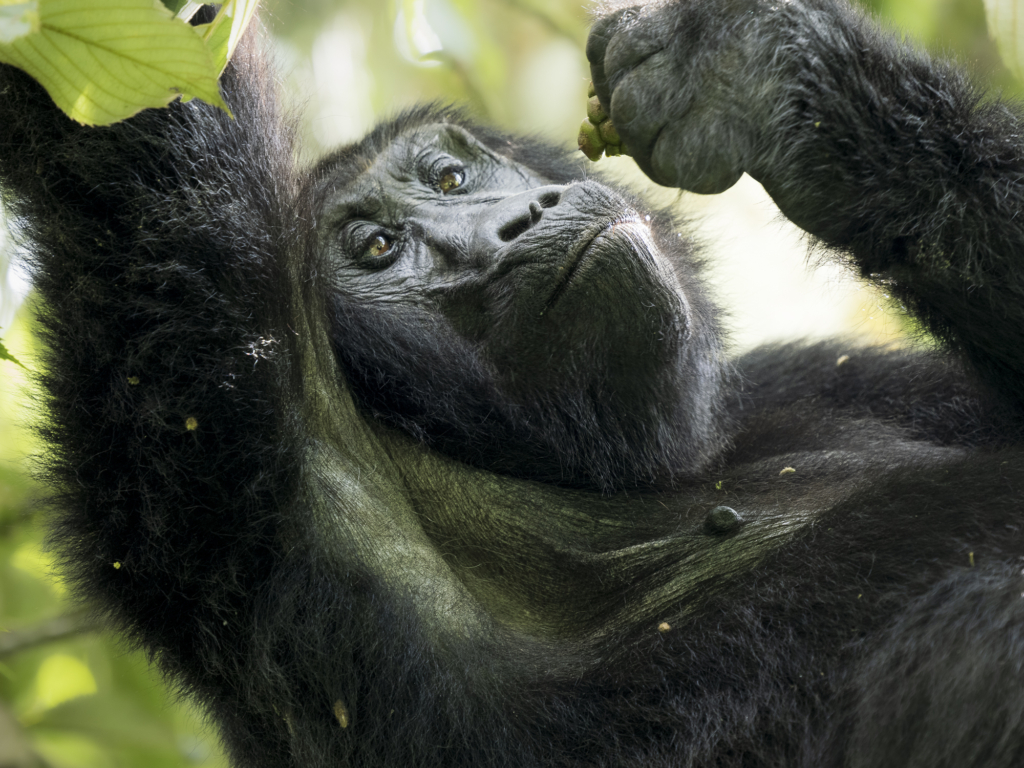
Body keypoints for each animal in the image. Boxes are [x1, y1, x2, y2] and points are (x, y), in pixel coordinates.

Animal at [2, 0, 1024, 765]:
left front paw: (758, 74)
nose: (515, 221)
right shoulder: (240, 464)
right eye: (378, 245)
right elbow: (135, 166)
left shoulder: (808, 375)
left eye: (451, 177)